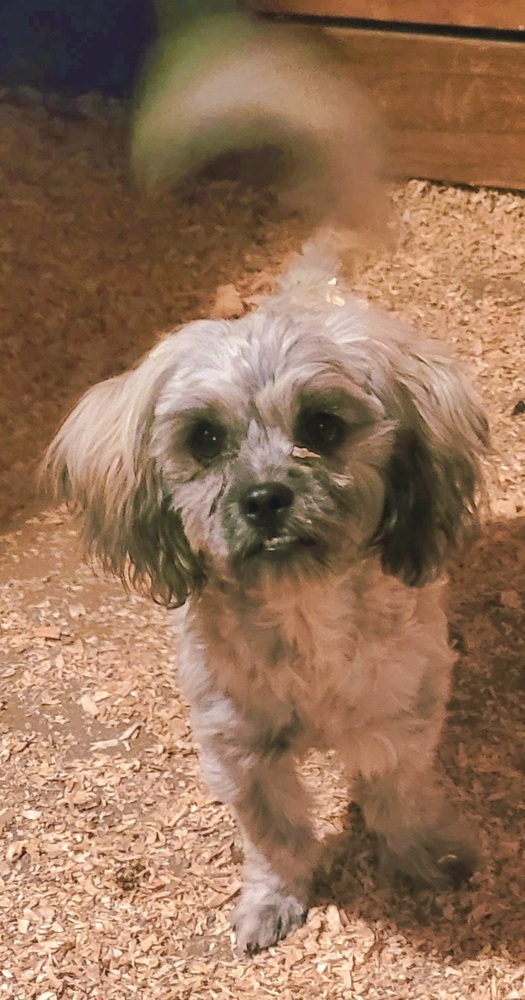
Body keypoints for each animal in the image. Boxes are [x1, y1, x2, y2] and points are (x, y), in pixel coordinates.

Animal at [45, 240, 488, 952]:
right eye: (204, 439)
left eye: (324, 426)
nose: (263, 498)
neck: (302, 622)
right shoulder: (241, 753)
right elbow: (275, 836)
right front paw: (271, 902)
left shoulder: (399, 724)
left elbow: (399, 798)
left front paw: (420, 857)